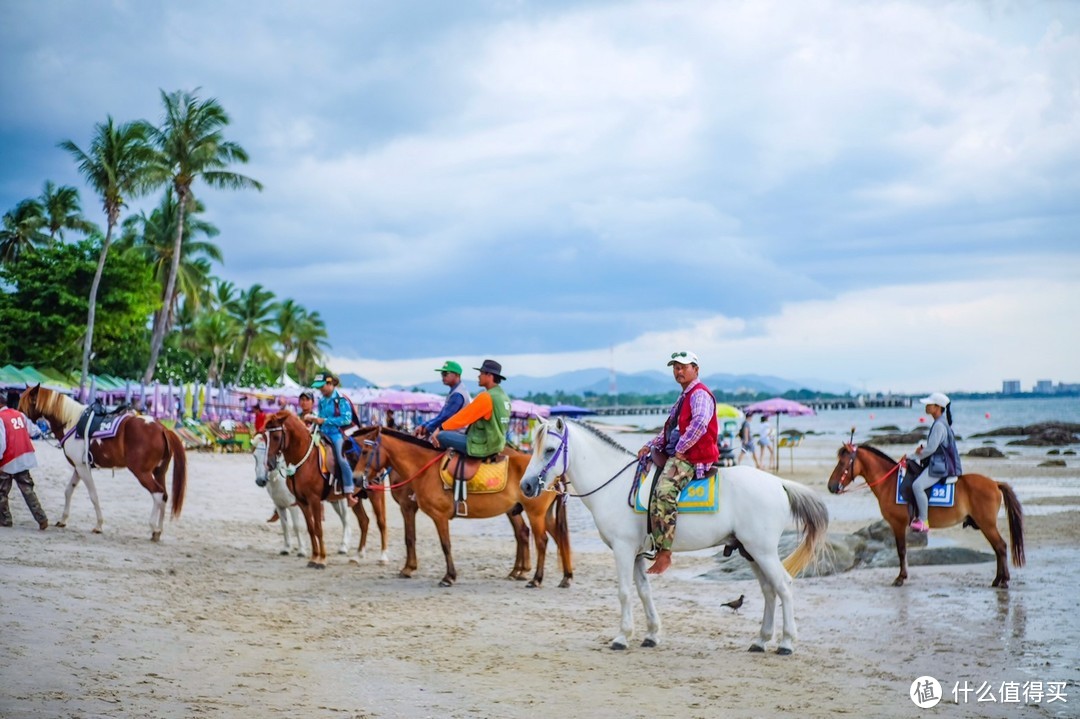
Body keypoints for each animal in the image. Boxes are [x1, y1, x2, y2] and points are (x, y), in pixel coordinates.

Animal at [19, 380, 186, 537]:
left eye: (24, 404)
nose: (18, 415)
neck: (72, 422)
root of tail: (162, 428)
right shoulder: (78, 467)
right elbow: (68, 491)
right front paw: (63, 520)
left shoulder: (83, 468)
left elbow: (93, 495)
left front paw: (98, 525)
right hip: (159, 472)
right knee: (164, 495)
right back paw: (159, 529)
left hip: (142, 473)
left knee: (157, 494)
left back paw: (153, 527)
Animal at [263, 412, 390, 570]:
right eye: (264, 437)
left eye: (275, 437)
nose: (268, 464)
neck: (306, 460)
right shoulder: (302, 501)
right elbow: (311, 529)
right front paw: (313, 558)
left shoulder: (314, 500)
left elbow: (318, 528)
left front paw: (322, 559)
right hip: (356, 498)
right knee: (364, 521)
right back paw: (357, 556)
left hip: (376, 494)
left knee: (381, 522)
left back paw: (383, 557)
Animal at [354, 425, 574, 587]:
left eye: (364, 451)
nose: (355, 479)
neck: (424, 467)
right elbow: (413, 538)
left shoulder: (435, 515)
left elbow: (444, 544)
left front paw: (448, 576)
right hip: (542, 514)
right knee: (557, 537)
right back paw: (565, 575)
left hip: (535, 513)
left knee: (541, 541)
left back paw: (536, 579)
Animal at [520, 414, 825, 656]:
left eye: (549, 450)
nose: (526, 485)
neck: (614, 484)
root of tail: (779, 483)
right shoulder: (636, 554)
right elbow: (643, 591)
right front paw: (651, 634)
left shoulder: (622, 550)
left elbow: (624, 592)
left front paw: (622, 637)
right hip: (750, 552)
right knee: (769, 591)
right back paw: (761, 641)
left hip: (762, 551)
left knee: (784, 585)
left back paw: (786, 643)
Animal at [829, 442, 1023, 587]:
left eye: (842, 463)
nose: (831, 486)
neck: (890, 483)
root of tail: (995, 483)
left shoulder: (898, 524)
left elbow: (901, 550)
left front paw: (901, 577)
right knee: (998, 548)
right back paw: (998, 579)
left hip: (987, 524)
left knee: (1001, 547)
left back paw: (1003, 580)